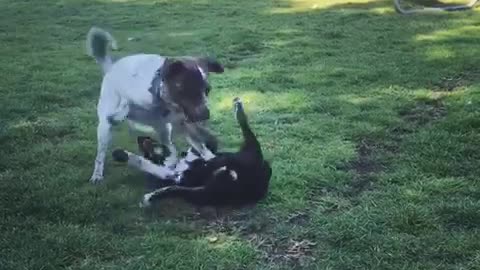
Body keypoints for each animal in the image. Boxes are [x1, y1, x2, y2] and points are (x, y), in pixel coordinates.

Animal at [85, 27, 224, 182]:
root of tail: (111, 68)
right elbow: (126, 103)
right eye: (188, 88)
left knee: (170, 147)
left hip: (164, 129)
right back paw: (97, 173)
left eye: (207, 90)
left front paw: (211, 158)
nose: (206, 114)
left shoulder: (184, 123)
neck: (162, 101)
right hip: (104, 129)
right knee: (101, 154)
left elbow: (200, 145)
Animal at [110, 97, 272, 207]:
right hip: (203, 191)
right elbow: (146, 164)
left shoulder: (208, 145)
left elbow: (199, 139)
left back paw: (238, 108)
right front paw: (122, 154)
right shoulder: (175, 176)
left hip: (251, 152)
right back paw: (151, 196)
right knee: (174, 189)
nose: (140, 138)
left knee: (245, 127)